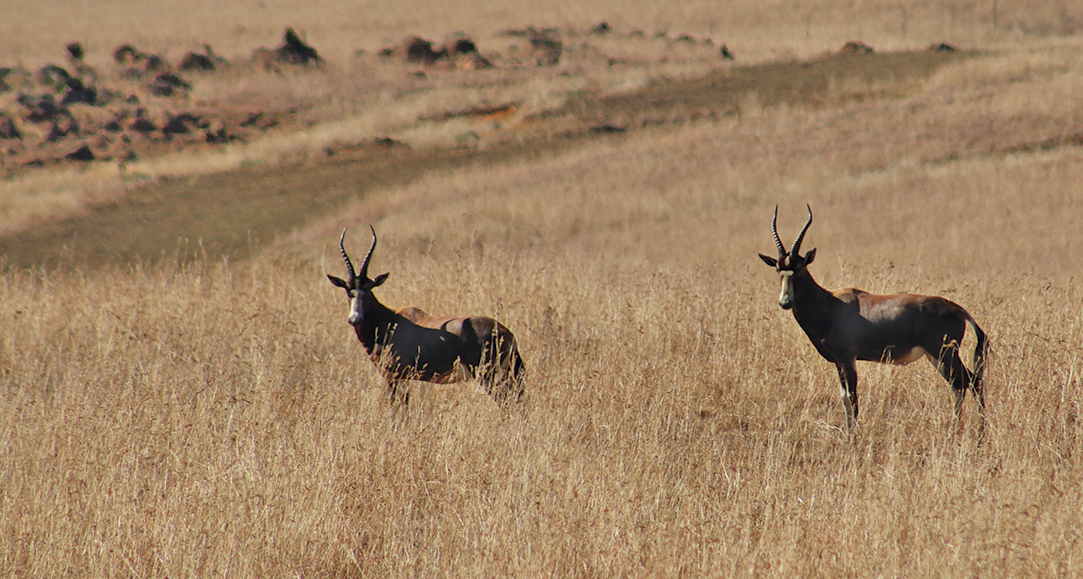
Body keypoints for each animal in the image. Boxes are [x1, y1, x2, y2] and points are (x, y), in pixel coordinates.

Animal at [324, 227, 524, 413]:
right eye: (348, 290)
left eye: (368, 289)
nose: (355, 318)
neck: (389, 320)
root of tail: (507, 333)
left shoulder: (394, 376)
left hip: (489, 376)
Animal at [758, 204, 987, 430]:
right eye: (778, 269)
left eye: (799, 268)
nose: (785, 302)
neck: (830, 303)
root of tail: (959, 310)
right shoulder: (838, 362)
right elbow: (844, 397)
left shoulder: (848, 358)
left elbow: (852, 396)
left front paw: (854, 435)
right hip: (936, 356)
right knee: (960, 385)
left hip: (945, 353)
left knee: (972, 382)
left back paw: (976, 431)